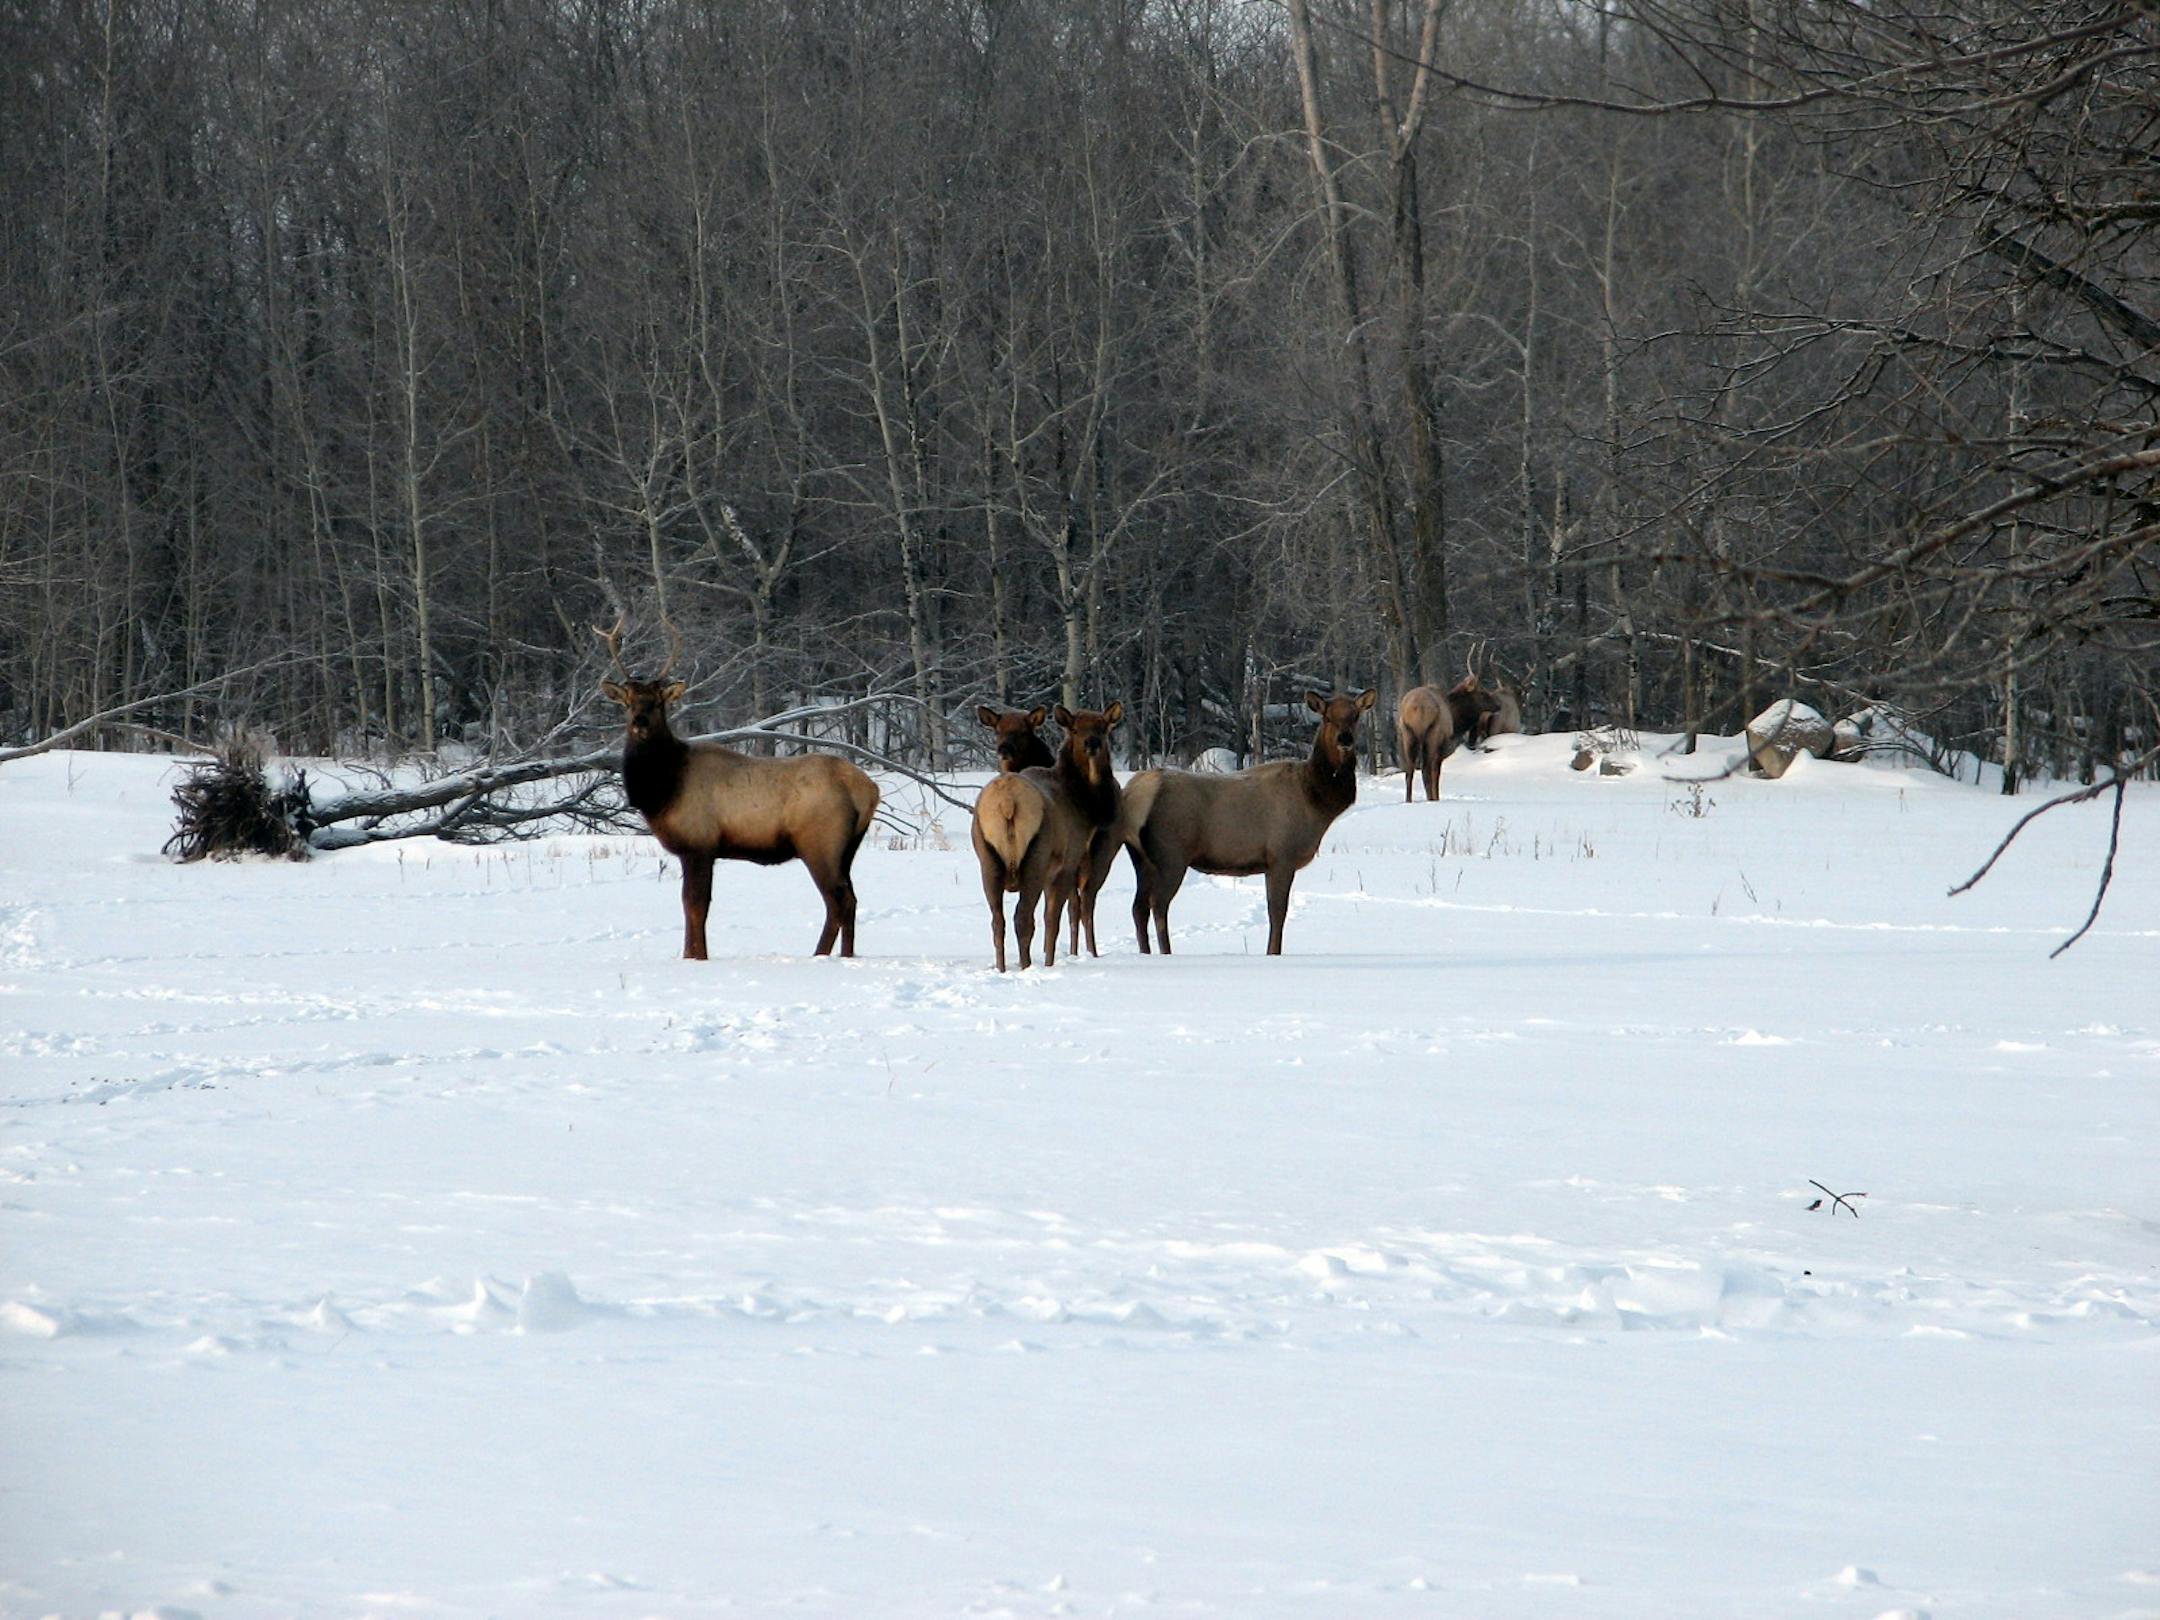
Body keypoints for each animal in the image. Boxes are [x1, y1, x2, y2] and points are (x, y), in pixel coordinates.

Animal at [597, 619, 880, 959]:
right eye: (627, 702)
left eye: (658, 702)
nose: (639, 723)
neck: (663, 790)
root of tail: (868, 789)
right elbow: (692, 906)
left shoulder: (699, 843)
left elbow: (695, 906)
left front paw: (696, 957)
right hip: (847, 849)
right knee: (850, 899)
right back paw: (844, 955)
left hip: (820, 843)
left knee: (838, 901)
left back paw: (820, 956)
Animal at [971, 702, 1123, 972]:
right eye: (1074, 729)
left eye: (1103, 728)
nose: (1091, 743)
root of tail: (1008, 802)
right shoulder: (1066, 863)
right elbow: (1053, 918)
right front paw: (1050, 961)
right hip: (1042, 856)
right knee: (1039, 915)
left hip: (987, 858)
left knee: (998, 922)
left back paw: (1003, 968)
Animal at [1121, 689, 1375, 956]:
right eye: (1327, 717)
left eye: (1356, 716)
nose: (1345, 738)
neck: (1316, 800)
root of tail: (1133, 793)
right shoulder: (1282, 855)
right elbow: (1278, 913)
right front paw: (1273, 952)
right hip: (1171, 854)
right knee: (1158, 904)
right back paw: (1166, 952)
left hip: (1141, 858)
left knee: (1138, 907)